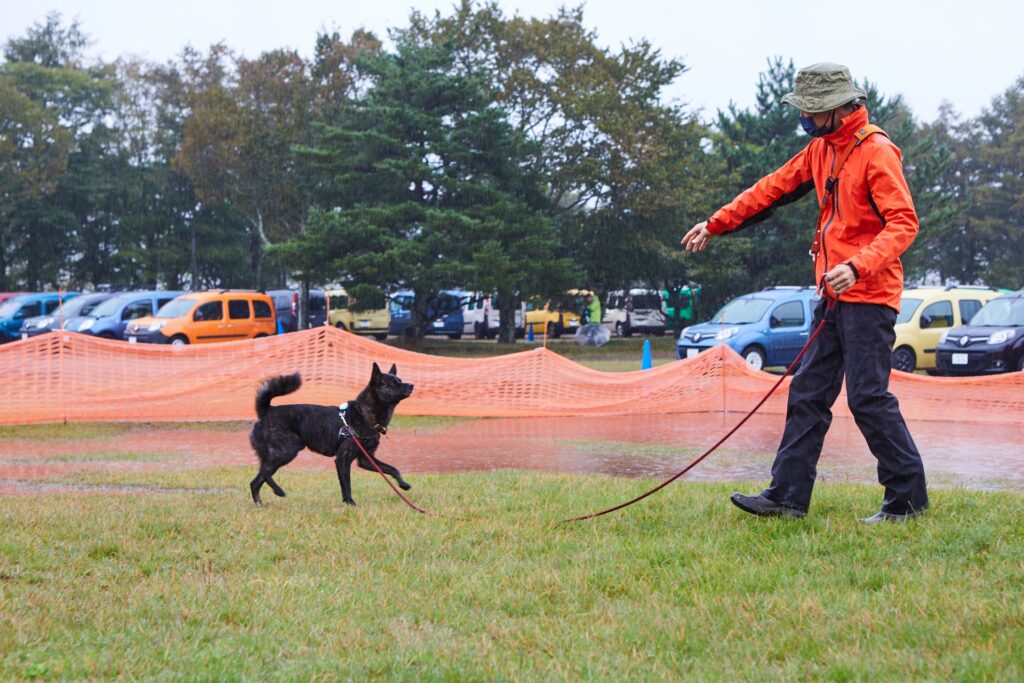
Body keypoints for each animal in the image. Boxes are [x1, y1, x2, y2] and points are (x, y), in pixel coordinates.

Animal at [249, 366, 413, 505]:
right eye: (393, 383)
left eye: (400, 380)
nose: (412, 385)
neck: (364, 414)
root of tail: (266, 411)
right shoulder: (343, 459)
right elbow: (347, 485)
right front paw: (350, 504)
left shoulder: (366, 459)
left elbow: (392, 469)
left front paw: (403, 484)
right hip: (287, 451)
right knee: (264, 473)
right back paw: (278, 490)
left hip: (278, 454)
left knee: (255, 482)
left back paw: (260, 505)